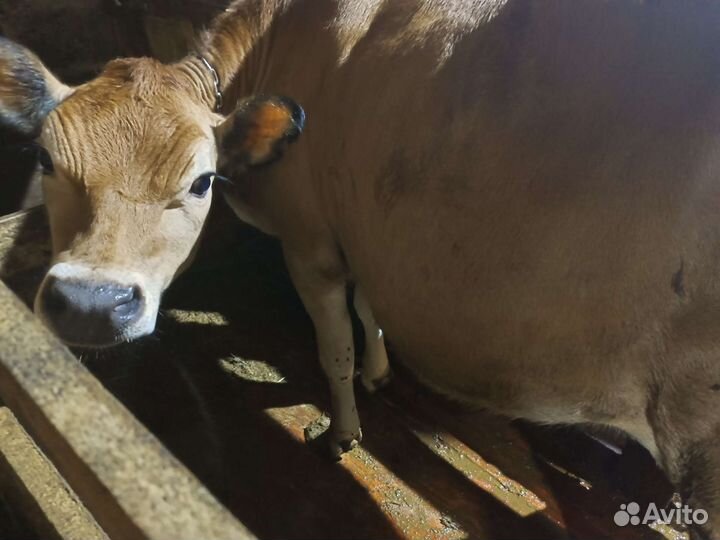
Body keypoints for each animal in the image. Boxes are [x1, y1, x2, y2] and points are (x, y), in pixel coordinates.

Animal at [1, 1, 719, 538]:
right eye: (44, 158)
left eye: (202, 180)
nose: (91, 304)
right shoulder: (360, 228)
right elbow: (369, 306)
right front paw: (379, 372)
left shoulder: (309, 242)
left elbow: (334, 350)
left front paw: (343, 432)